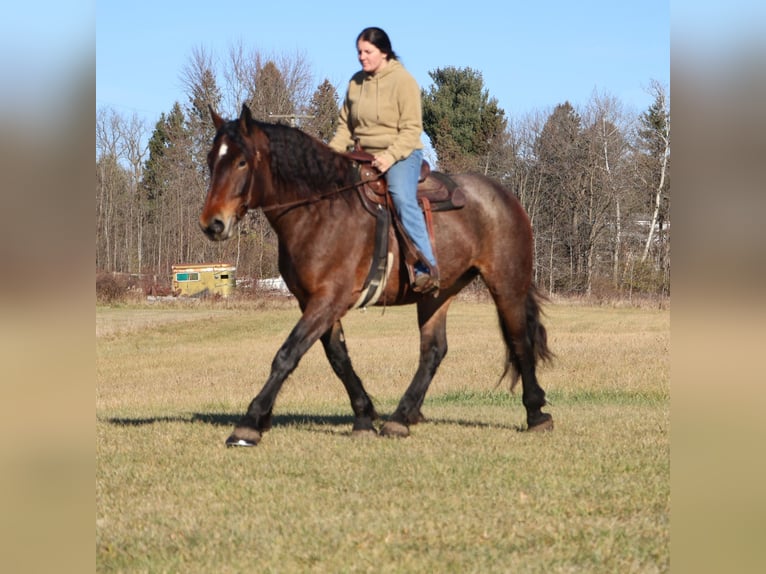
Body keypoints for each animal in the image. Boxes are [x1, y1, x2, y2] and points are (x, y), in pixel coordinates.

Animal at [200, 104, 553, 446]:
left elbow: (288, 354)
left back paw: (536, 413)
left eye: (242, 161)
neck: (320, 211)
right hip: (436, 295)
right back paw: (401, 417)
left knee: (520, 341)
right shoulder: (314, 302)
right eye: (210, 159)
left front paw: (249, 423)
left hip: (507, 285)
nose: (212, 224)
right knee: (433, 351)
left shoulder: (329, 299)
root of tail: (505, 196)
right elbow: (338, 357)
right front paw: (364, 415)